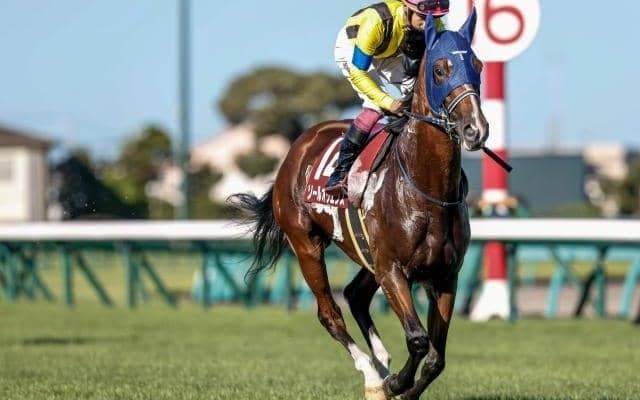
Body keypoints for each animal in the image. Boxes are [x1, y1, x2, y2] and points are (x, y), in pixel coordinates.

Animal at [230, 10, 488, 400]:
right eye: (440, 70)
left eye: (478, 65)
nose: (476, 129)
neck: (425, 188)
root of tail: (296, 148)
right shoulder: (393, 269)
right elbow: (418, 340)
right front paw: (395, 382)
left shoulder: (445, 275)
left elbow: (436, 357)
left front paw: (403, 386)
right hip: (306, 244)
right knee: (330, 313)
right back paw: (372, 374)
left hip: (365, 252)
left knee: (354, 295)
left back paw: (381, 362)